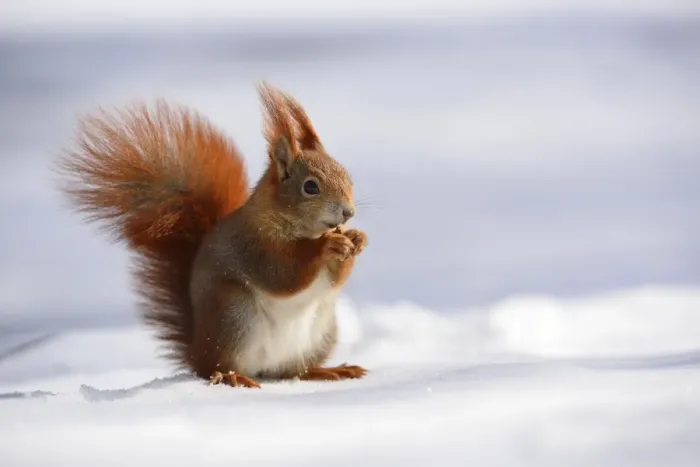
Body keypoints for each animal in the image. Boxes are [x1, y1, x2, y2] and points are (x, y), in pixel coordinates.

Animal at [56, 82, 368, 388]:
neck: (303, 230)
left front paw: (356, 239)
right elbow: (283, 274)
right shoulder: (254, 245)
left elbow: (333, 280)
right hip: (233, 316)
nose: (348, 212)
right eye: (310, 187)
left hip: (321, 333)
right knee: (214, 368)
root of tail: (196, 349)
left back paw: (327, 371)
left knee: (292, 372)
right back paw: (232, 376)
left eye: (348, 178)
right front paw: (328, 245)